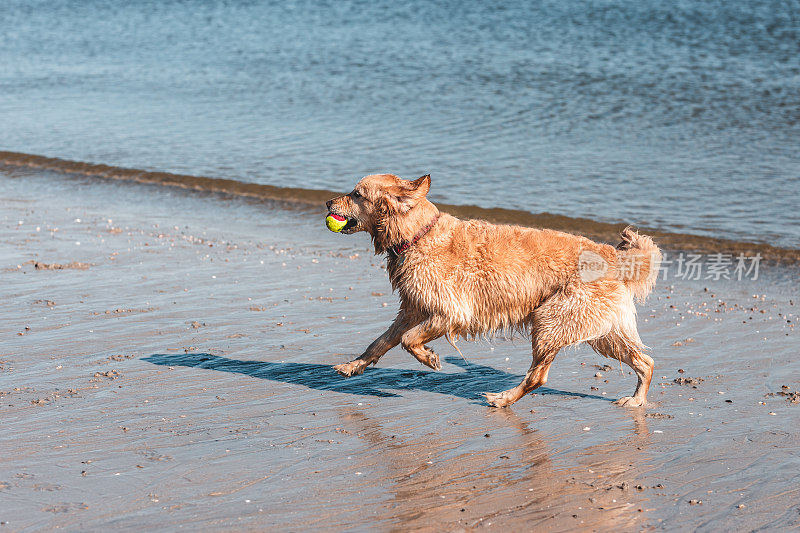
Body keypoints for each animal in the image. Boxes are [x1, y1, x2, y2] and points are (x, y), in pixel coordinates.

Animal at [324, 175, 664, 408]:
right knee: (646, 362)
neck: (418, 235)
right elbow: (380, 342)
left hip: (551, 319)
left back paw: (502, 398)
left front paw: (430, 359)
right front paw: (352, 365)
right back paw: (636, 400)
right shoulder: (413, 308)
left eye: (356, 194)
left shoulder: (451, 311)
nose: (327, 203)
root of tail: (613, 256)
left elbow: (409, 340)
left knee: (538, 376)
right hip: (602, 330)